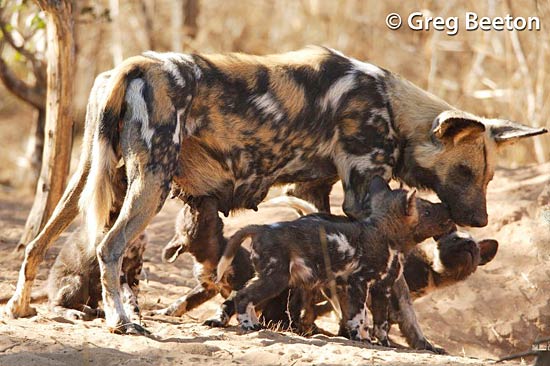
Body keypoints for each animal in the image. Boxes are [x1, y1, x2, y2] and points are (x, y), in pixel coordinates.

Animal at [216, 177, 452, 346]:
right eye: (427, 211)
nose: (448, 211)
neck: (386, 235)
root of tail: (262, 227)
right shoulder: (358, 283)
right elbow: (359, 316)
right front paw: (361, 339)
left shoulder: (381, 289)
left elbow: (381, 324)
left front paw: (382, 343)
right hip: (277, 278)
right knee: (244, 296)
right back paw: (248, 325)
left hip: (268, 276)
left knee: (240, 294)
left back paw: (253, 323)